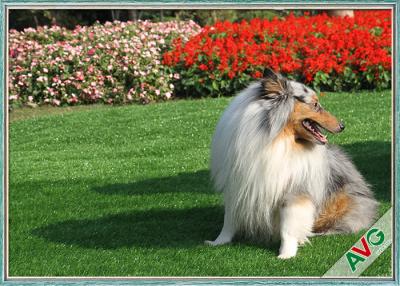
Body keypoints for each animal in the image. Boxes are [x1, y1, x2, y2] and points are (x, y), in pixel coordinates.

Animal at [206, 68, 378, 260]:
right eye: (315, 104)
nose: (342, 126)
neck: (277, 139)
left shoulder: (294, 192)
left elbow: (288, 228)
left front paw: (286, 254)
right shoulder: (237, 185)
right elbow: (229, 220)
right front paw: (218, 242)